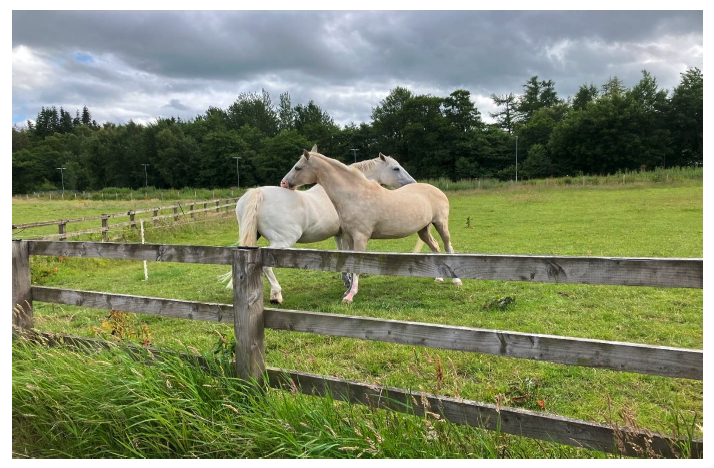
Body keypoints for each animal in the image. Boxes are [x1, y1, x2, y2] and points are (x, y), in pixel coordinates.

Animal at [220, 147, 417, 304]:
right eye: (396, 168)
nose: (413, 184)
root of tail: (257, 193)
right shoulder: (346, 234)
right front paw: (348, 284)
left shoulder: (339, 234)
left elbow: (342, 255)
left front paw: (346, 281)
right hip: (282, 242)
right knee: (267, 265)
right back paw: (276, 294)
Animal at [281, 149, 461, 303]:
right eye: (396, 168)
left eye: (298, 167)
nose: (284, 183)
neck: (354, 194)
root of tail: (437, 190)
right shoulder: (348, 237)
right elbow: (349, 263)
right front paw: (347, 292)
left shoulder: (361, 237)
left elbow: (357, 265)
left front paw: (350, 295)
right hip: (423, 230)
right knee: (435, 247)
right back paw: (439, 278)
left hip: (441, 224)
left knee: (448, 246)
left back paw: (456, 280)